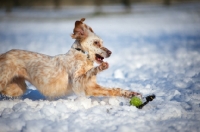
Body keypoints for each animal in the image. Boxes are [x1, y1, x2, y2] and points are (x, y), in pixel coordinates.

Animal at [0, 18, 141, 99]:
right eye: (96, 43)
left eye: (102, 42)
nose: (110, 52)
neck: (82, 55)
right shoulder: (76, 83)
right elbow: (88, 72)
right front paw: (100, 67)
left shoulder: (90, 87)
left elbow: (114, 89)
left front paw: (132, 93)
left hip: (17, 88)